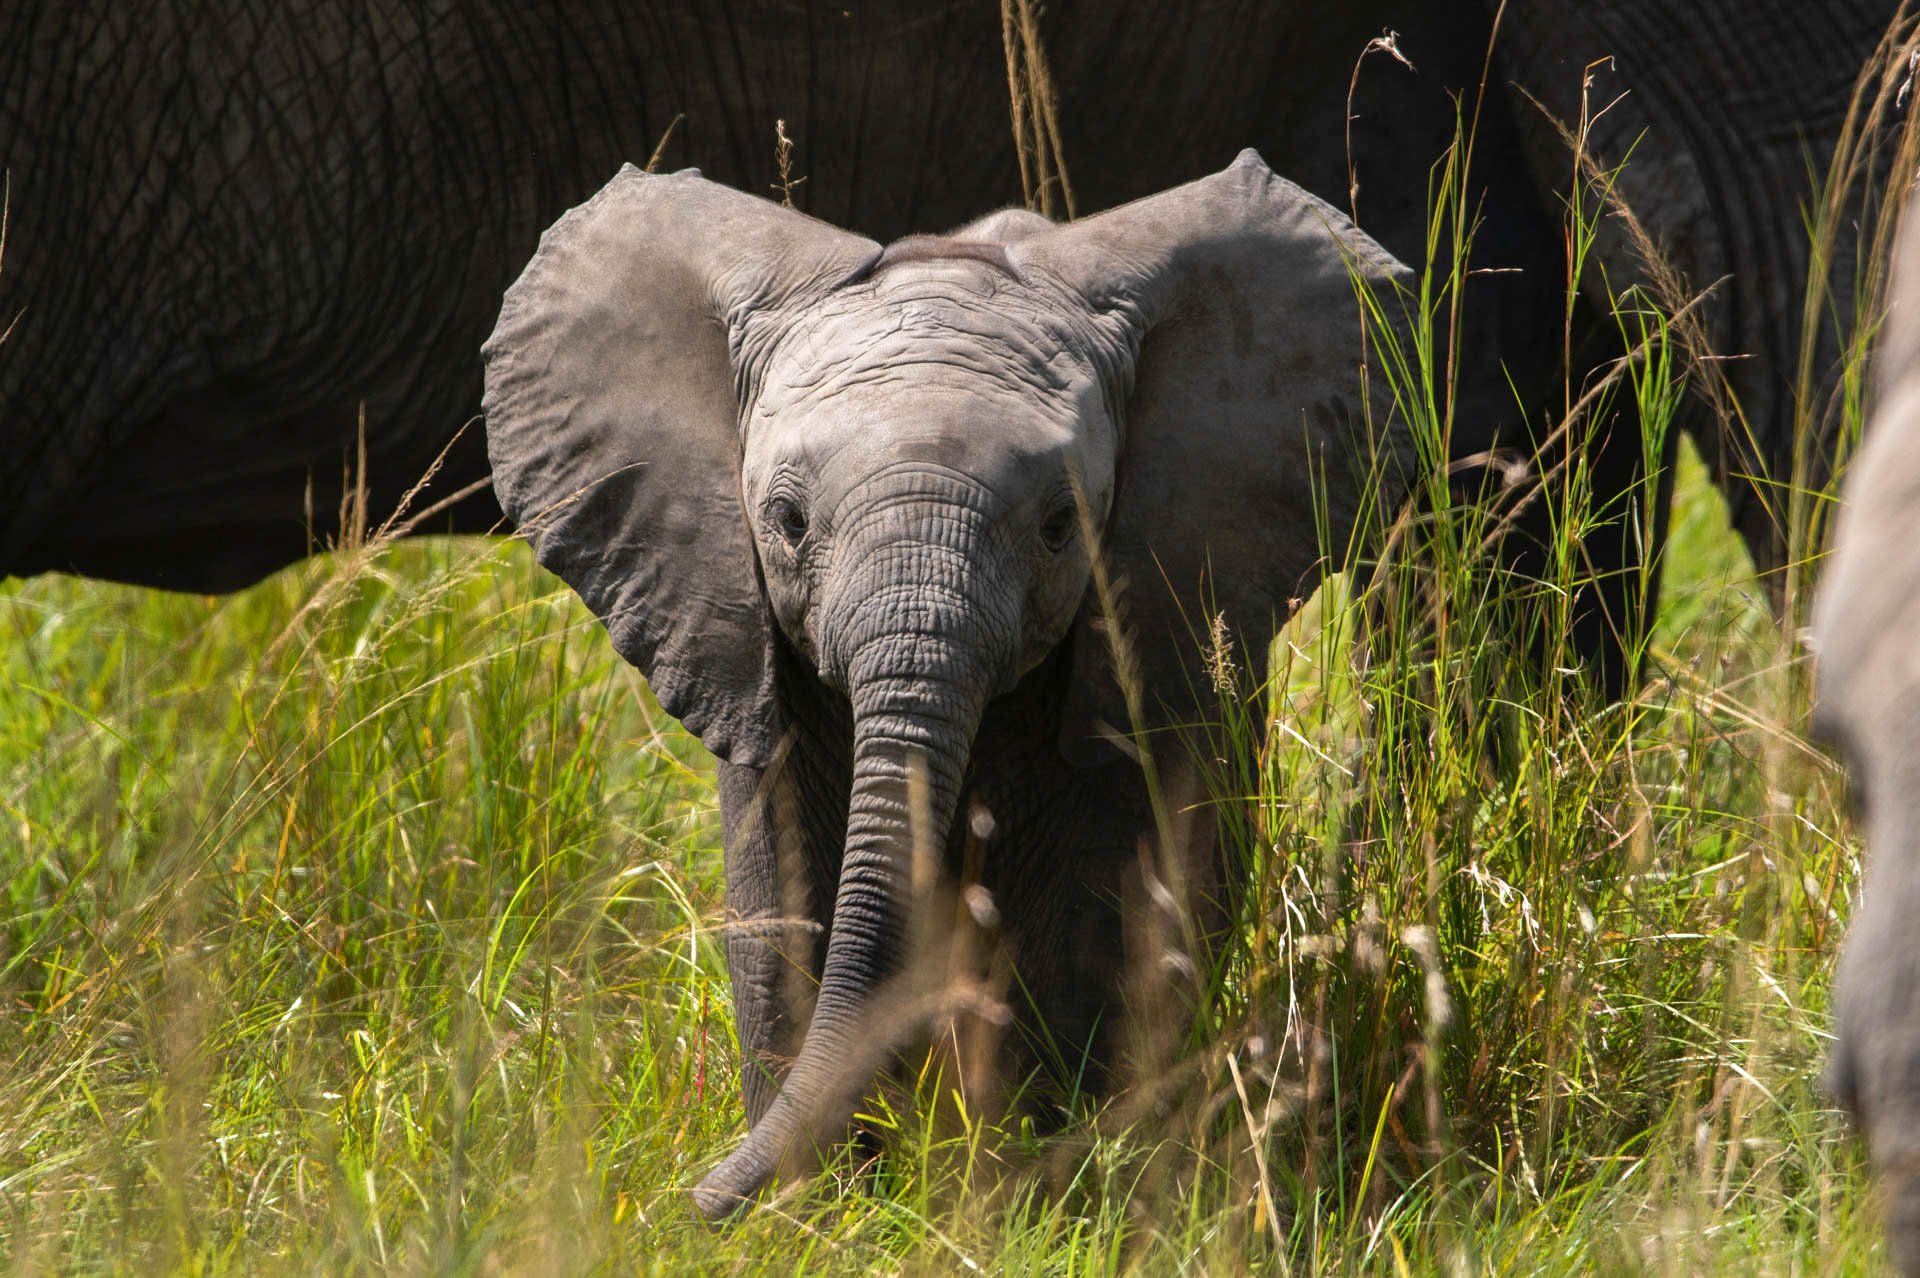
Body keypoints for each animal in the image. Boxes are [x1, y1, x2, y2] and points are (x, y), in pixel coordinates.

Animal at [480, 149, 1413, 1212]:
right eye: (788, 522)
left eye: (1059, 526)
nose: (679, 1207)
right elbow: (781, 901)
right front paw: (816, 1210)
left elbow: (1088, 919)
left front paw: (1030, 1191)